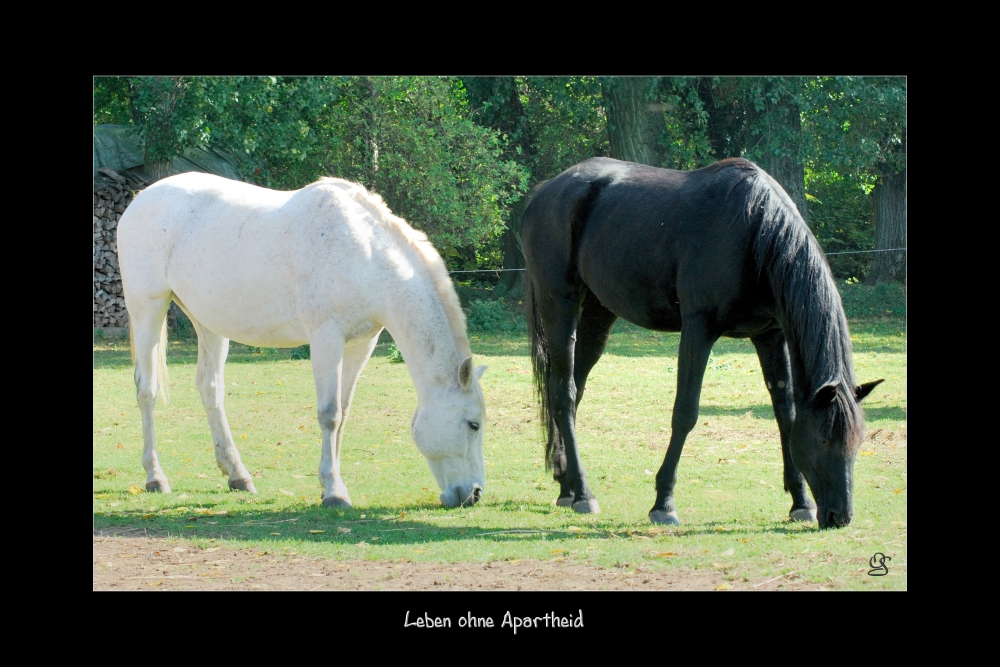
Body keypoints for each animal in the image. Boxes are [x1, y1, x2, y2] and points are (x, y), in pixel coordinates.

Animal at [117, 172, 488, 506]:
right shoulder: (326, 338)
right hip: (148, 308)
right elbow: (329, 414)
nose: (473, 494)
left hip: (208, 321)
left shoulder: (361, 343)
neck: (363, 252)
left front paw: (331, 485)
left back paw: (238, 475)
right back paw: (155, 477)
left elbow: (344, 413)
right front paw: (334, 492)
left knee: (210, 389)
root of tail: (139, 201)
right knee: (146, 390)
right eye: (473, 424)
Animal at [524, 157, 884, 528]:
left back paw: (566, 485)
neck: (755, 231)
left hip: (599, 312)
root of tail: (546, 192)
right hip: (560, 303)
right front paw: (663, 504)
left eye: (858, 441)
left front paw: (800, 502)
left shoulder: (770, 335)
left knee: (573, 388)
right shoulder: (698, 329)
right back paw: (583, 493)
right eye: (824, 439)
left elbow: (786, 413)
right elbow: (685, 413)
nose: (840, 516)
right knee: (564, 394)